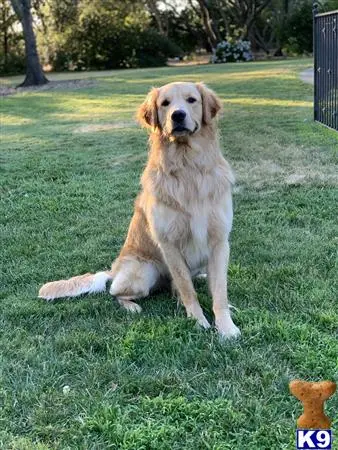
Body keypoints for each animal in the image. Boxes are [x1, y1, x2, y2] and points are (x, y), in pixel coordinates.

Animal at [39, 82, 240, 340]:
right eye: (165, 103)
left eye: (191, 100)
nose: (178, 115)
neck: (188, 168)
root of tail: (113, 270)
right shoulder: (169, 244)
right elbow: (187, 289)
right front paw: (198, 321)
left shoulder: (219, 241)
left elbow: (220, 291)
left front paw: (226, 326)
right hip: (144, 272)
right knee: (117, 292)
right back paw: (132, 306)